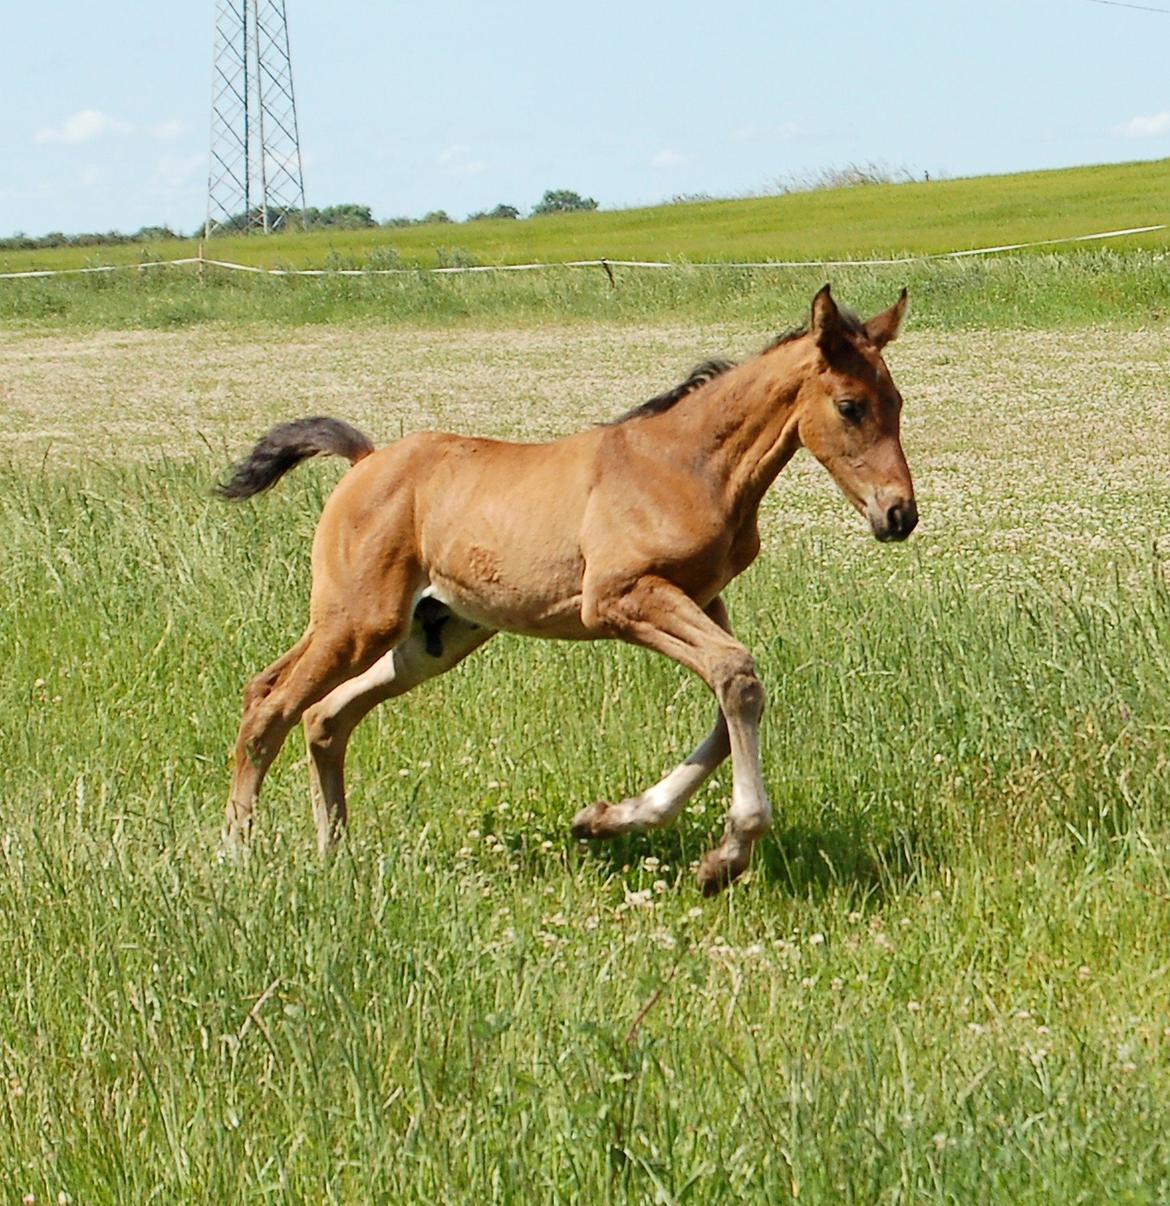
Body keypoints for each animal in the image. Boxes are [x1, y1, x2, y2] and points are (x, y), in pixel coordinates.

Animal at [217, 287, 911, 897]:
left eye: (898, 402)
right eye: (850, 406)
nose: (899, 514)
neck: (687, 465)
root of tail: (365, 461)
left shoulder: (702, 598)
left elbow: (728, 697)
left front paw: (604, 820)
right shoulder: (619, 598)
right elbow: (737, 677)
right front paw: (725, 857)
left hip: (430, 637)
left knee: (324, 715)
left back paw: (334, 853)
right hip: (357, 620)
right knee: (268, 704)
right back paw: (237, 855)